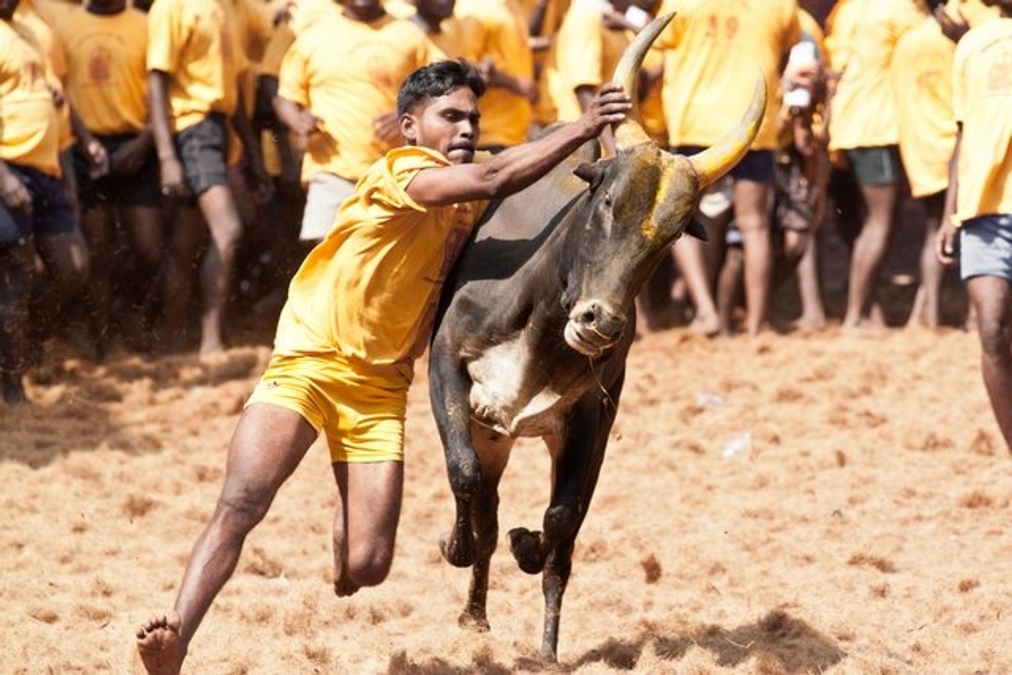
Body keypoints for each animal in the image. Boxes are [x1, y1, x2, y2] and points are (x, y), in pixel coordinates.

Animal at [427, 13, 766, 664]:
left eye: (674, 232)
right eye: (607, 198)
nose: (599, 323)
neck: (540, 320)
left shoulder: (593, 420)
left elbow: (561, 522)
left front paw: (529, 551)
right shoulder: (448, 369)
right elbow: (464, 475)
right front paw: (457, 546)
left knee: (544, 537)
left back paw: (543, 649)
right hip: (491, 429)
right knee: (484, 502)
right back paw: (474, 612)